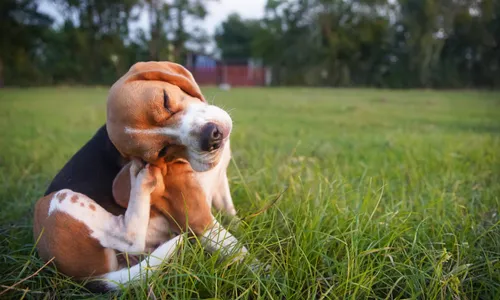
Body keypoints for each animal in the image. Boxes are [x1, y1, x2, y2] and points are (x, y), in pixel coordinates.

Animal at [32, 61, 247, 290]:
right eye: (162, 151)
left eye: (165, 101)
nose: (212, 138)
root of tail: (89, 278)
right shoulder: (199, 220)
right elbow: (242, 252)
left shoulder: (220, 184)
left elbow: (231, 213)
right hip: (58, 202)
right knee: (129, 238)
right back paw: (141, 180)